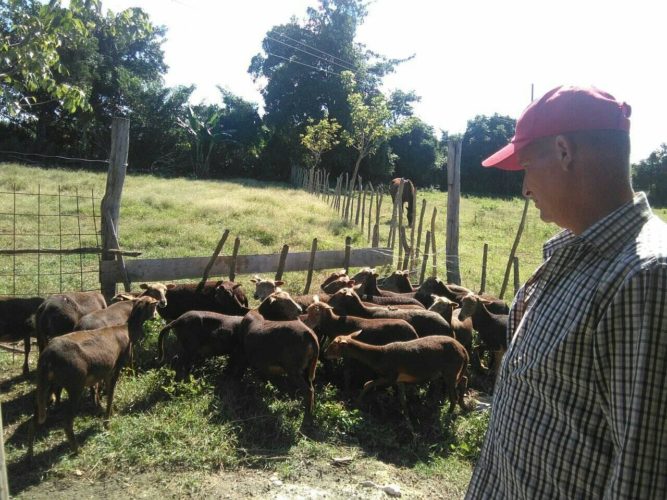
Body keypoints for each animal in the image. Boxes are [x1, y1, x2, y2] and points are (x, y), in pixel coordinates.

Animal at [28, 296, 161, 458]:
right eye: (154, 305)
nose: (156, 316)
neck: (127, 329)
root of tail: (47, 356)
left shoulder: (106, 371)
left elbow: (107, 391)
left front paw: (110, 412)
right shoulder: (115, 367)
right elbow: (111, 392)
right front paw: (107, 421)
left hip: (47, 383)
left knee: (35, 418)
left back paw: (30, 454)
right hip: (75, 385)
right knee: (67, 421)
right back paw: (76, 450)